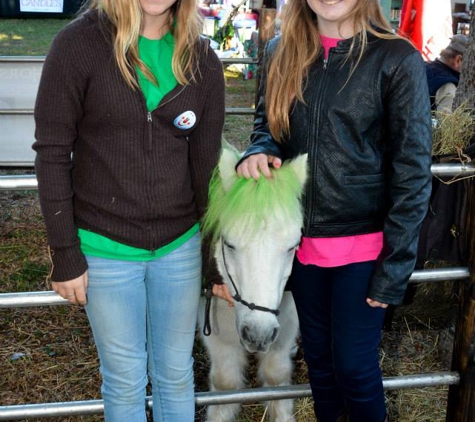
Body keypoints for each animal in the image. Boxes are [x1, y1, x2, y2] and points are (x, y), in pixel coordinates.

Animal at [198, 147, 306, 422]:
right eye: (229, 244)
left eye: (292, 246)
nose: (259, 334)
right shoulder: (216, 327)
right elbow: (225, 383)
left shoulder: (285, 323)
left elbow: (276, 377)